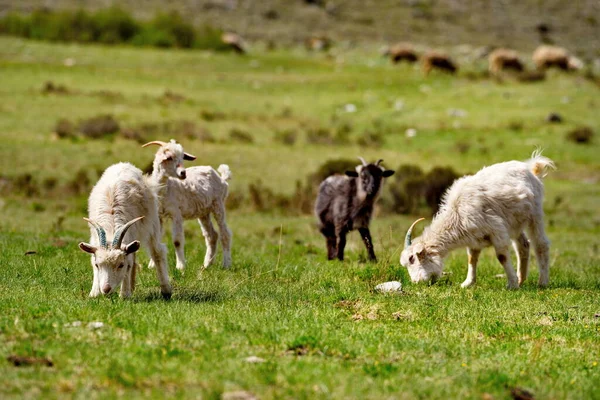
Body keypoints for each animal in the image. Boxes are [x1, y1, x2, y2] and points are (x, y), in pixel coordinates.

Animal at [79, 161, 186, 298]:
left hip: (152, 221)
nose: (106, 289)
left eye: (121, 265)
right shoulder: (94, 236)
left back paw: (165, 289)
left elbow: (130, 261)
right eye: (98, 265)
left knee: (157, 251)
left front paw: (124, 294)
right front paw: (94, 292)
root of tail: (124, 164)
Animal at [143, 139, 232, 270]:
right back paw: (207, 264)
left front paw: (180, 266)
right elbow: (156, 241)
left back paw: (226, 264)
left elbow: (177, 241)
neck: (166, 189)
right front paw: (152, 265)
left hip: (218, 205)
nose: (183, 173)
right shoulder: (158, 216)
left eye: (182, 158)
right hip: (204, 212)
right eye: (169, 157)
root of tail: (222, 179)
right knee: (211, 235)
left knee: (225, 233)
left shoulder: (176, 214)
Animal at [400, 152, 556, 290]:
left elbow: (502, 256)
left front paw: (511, 284)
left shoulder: (496, 229)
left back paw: (542, 282)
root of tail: (532, 169)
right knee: (523, 246)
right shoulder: (474, 238)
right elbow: (472, 258)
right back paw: (521, 279)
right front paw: (468, 283)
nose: (416, 282)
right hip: (515, 222)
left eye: (412, 259)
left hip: (535, 214)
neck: (457, 213)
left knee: (541, 244)